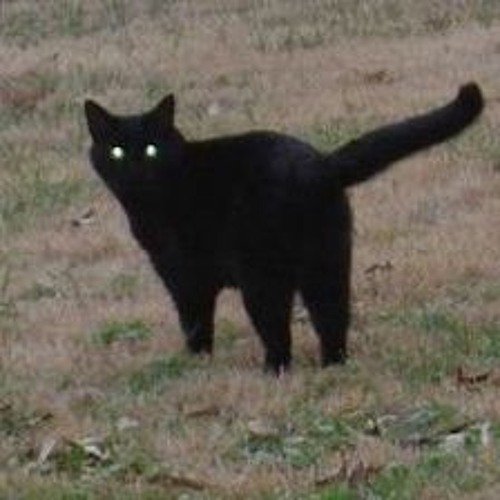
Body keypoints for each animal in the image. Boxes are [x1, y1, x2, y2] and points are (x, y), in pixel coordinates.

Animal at [84, 82, 483, 374]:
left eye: (151, 150)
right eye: (116, 152)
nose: (135, 169)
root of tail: (322, 164)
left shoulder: (183, 275)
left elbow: (194, 323)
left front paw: (196, 364)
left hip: (263, 277)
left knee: (278, 331)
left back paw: (273, 372)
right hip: (326, 262)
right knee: (333, 317)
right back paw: (332, 367)